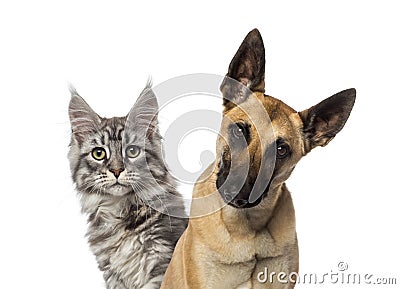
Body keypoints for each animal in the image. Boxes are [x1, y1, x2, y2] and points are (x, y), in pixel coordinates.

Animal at [68, 82, 188, 286]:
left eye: (132, 151)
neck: (119, 212)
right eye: (98, 153)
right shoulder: (113, 275)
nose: (116, 170)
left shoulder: (161, 261)